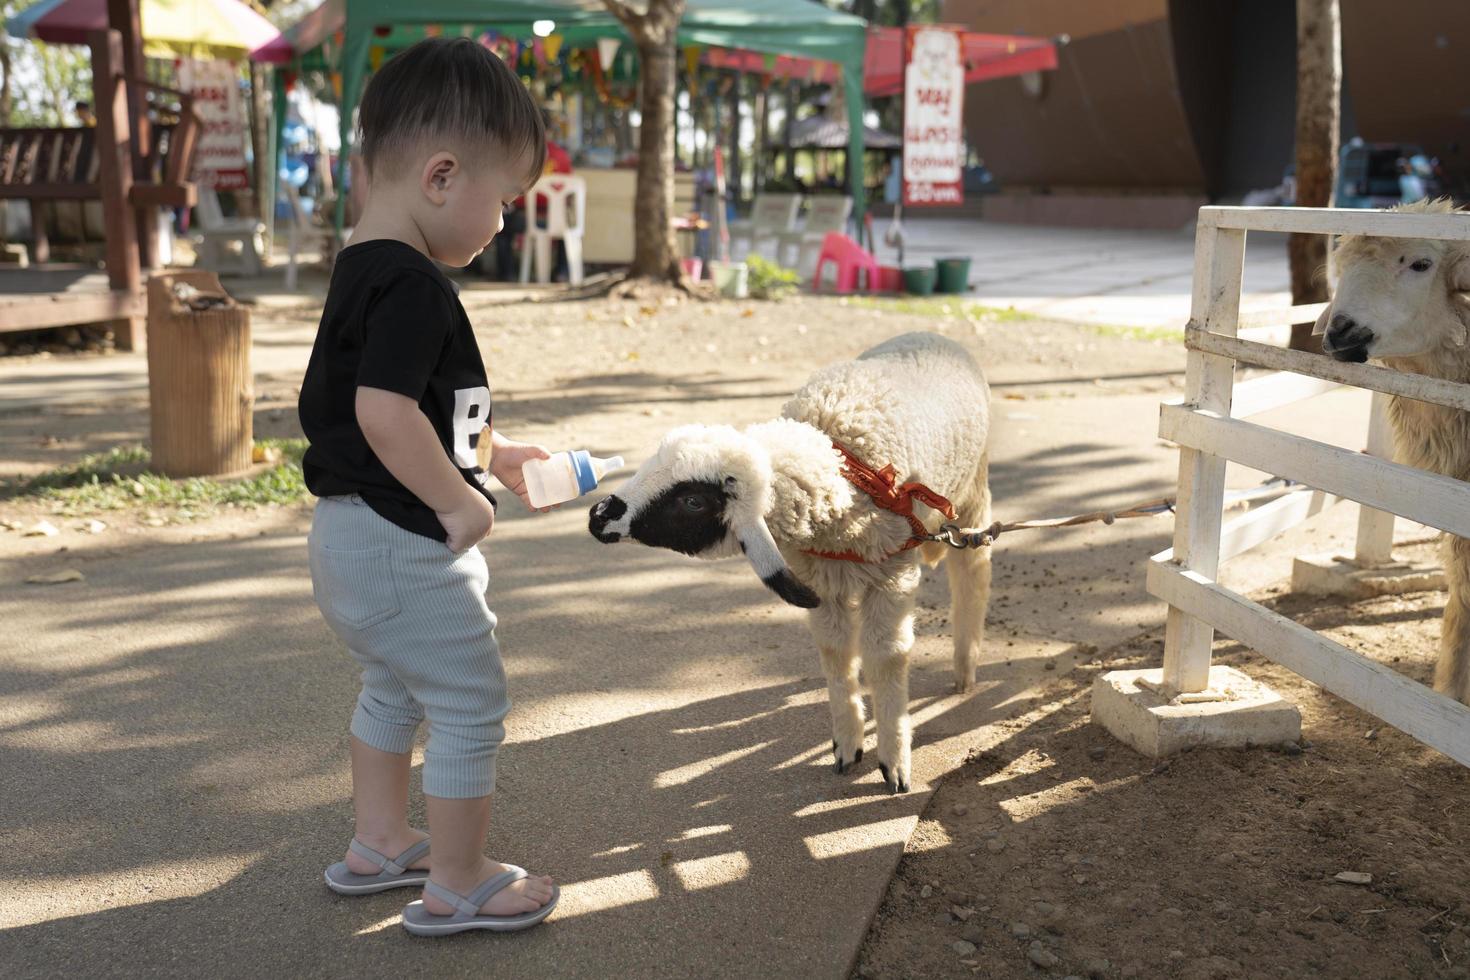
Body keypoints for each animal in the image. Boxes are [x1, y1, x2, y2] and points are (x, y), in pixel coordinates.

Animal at [582, 333, 987, 793]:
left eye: (693, 501)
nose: (598, 516)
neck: (844, 467)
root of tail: (931, 335)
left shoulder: (892, 574)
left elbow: (886, 657)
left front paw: (894, 762)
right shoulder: (820, 580)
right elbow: (835, 652)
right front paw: (848, 746)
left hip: (972, 496)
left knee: (972, 574)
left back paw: (965, 667)